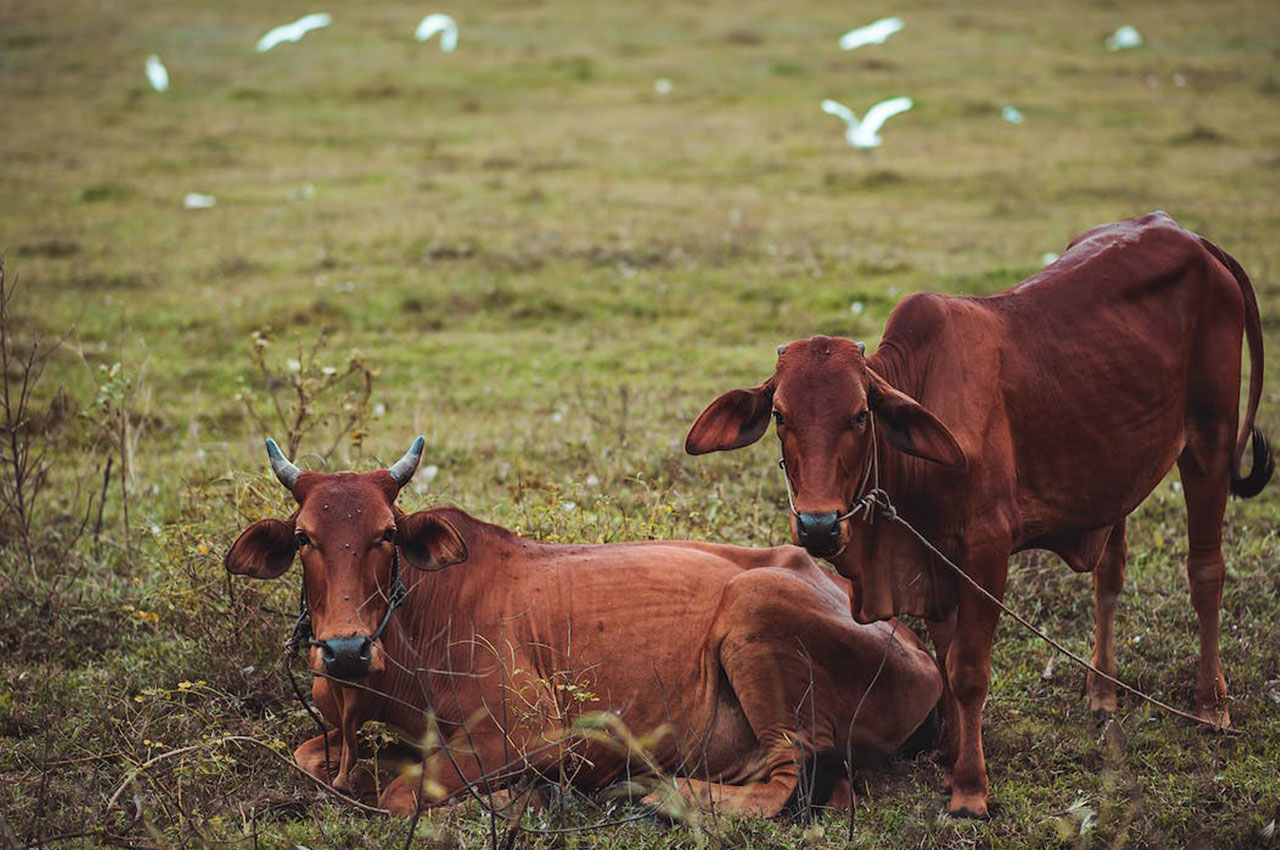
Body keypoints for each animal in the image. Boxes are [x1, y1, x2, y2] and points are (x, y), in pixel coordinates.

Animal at [222, 437, 942, 819]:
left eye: (386, 535)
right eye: (305, 537)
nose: (344, 649)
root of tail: (917, 649)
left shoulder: (529, 732)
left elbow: (402, 794)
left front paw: (517, 801)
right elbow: (314, 759)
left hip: (755, 608)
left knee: (793, 781)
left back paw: (663, 793)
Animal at [680, 211, 1269, 819]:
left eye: (861, 414)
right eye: (779, 415)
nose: (818, 525)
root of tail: (1191, 236)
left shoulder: (987, 551)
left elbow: (967, 671)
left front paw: (969, 788)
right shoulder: (931, 561)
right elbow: (945, 660)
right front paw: (949, 760)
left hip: (1210, 441)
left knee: (1206, 572)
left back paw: (1211, 706)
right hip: (1119, 465)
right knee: (1111, 572)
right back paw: (1102, 691)